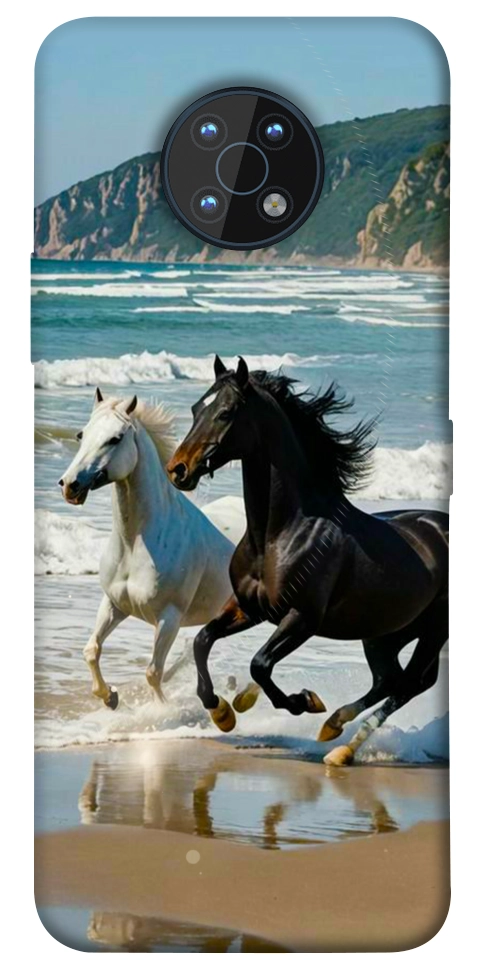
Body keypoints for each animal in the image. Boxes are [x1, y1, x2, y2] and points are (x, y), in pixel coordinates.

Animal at [59, 387, 234, 709]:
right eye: (81, 434)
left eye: (115, 438)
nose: (69, 485)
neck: (135, 544)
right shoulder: (114, 604)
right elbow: (91, 650)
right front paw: (110, 697)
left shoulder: (169, 618)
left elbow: (153, 672)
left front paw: (161, 711)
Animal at [166, 356, 448, 765]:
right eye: (195, 409)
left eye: (226, 412)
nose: (178, 469)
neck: (279, 534)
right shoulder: (249, 608)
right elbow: (203, 641)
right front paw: (222, 712)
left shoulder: (302, 618)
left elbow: (260, 664)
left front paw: (303, 702)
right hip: (384, 633)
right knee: (390, 680)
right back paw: (334, 729)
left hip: (431, 631)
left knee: (409, 683)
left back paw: (340, 745)